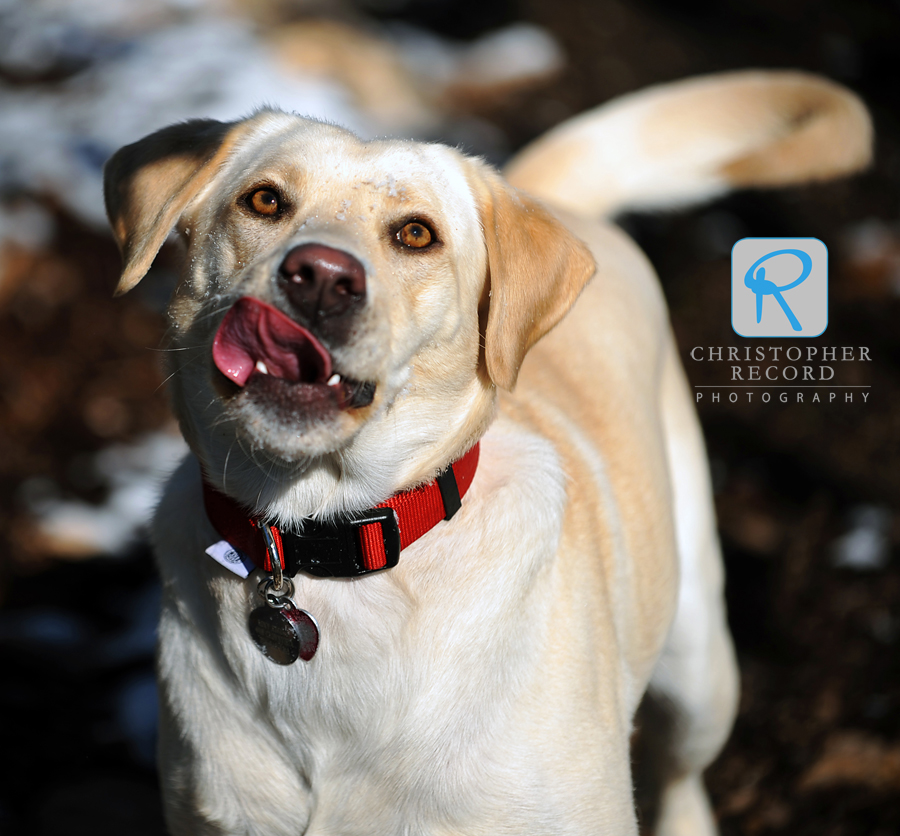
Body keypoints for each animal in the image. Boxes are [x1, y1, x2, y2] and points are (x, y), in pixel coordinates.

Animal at [105, 73, 872, 836]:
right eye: (264, 200)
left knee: (683, 773)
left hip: (697, 662)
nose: (320, 276)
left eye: (416, 234)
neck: (329, 537)